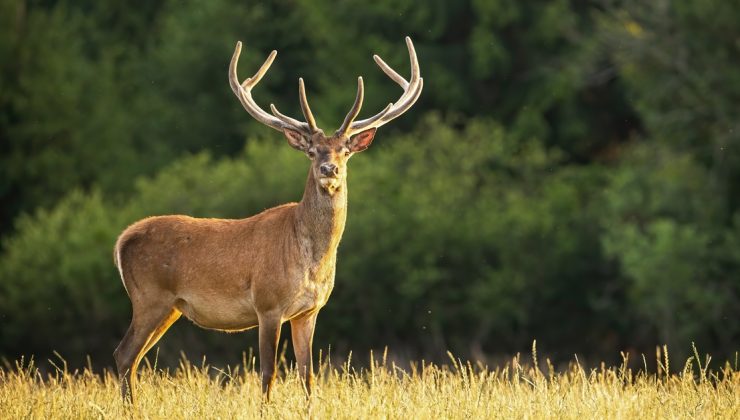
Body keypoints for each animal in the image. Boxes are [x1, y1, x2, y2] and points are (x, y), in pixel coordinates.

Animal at [110, 37, 422, 402]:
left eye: (345, 150)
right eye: (312, 151)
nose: (329, 169)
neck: (311, 259)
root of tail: (122, 241)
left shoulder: (309, 311)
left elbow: (308, 375)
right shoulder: (268, 304)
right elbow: (268, 374)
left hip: (170, 307)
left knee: (132, 358)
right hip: (149, 297)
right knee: (124, 353)